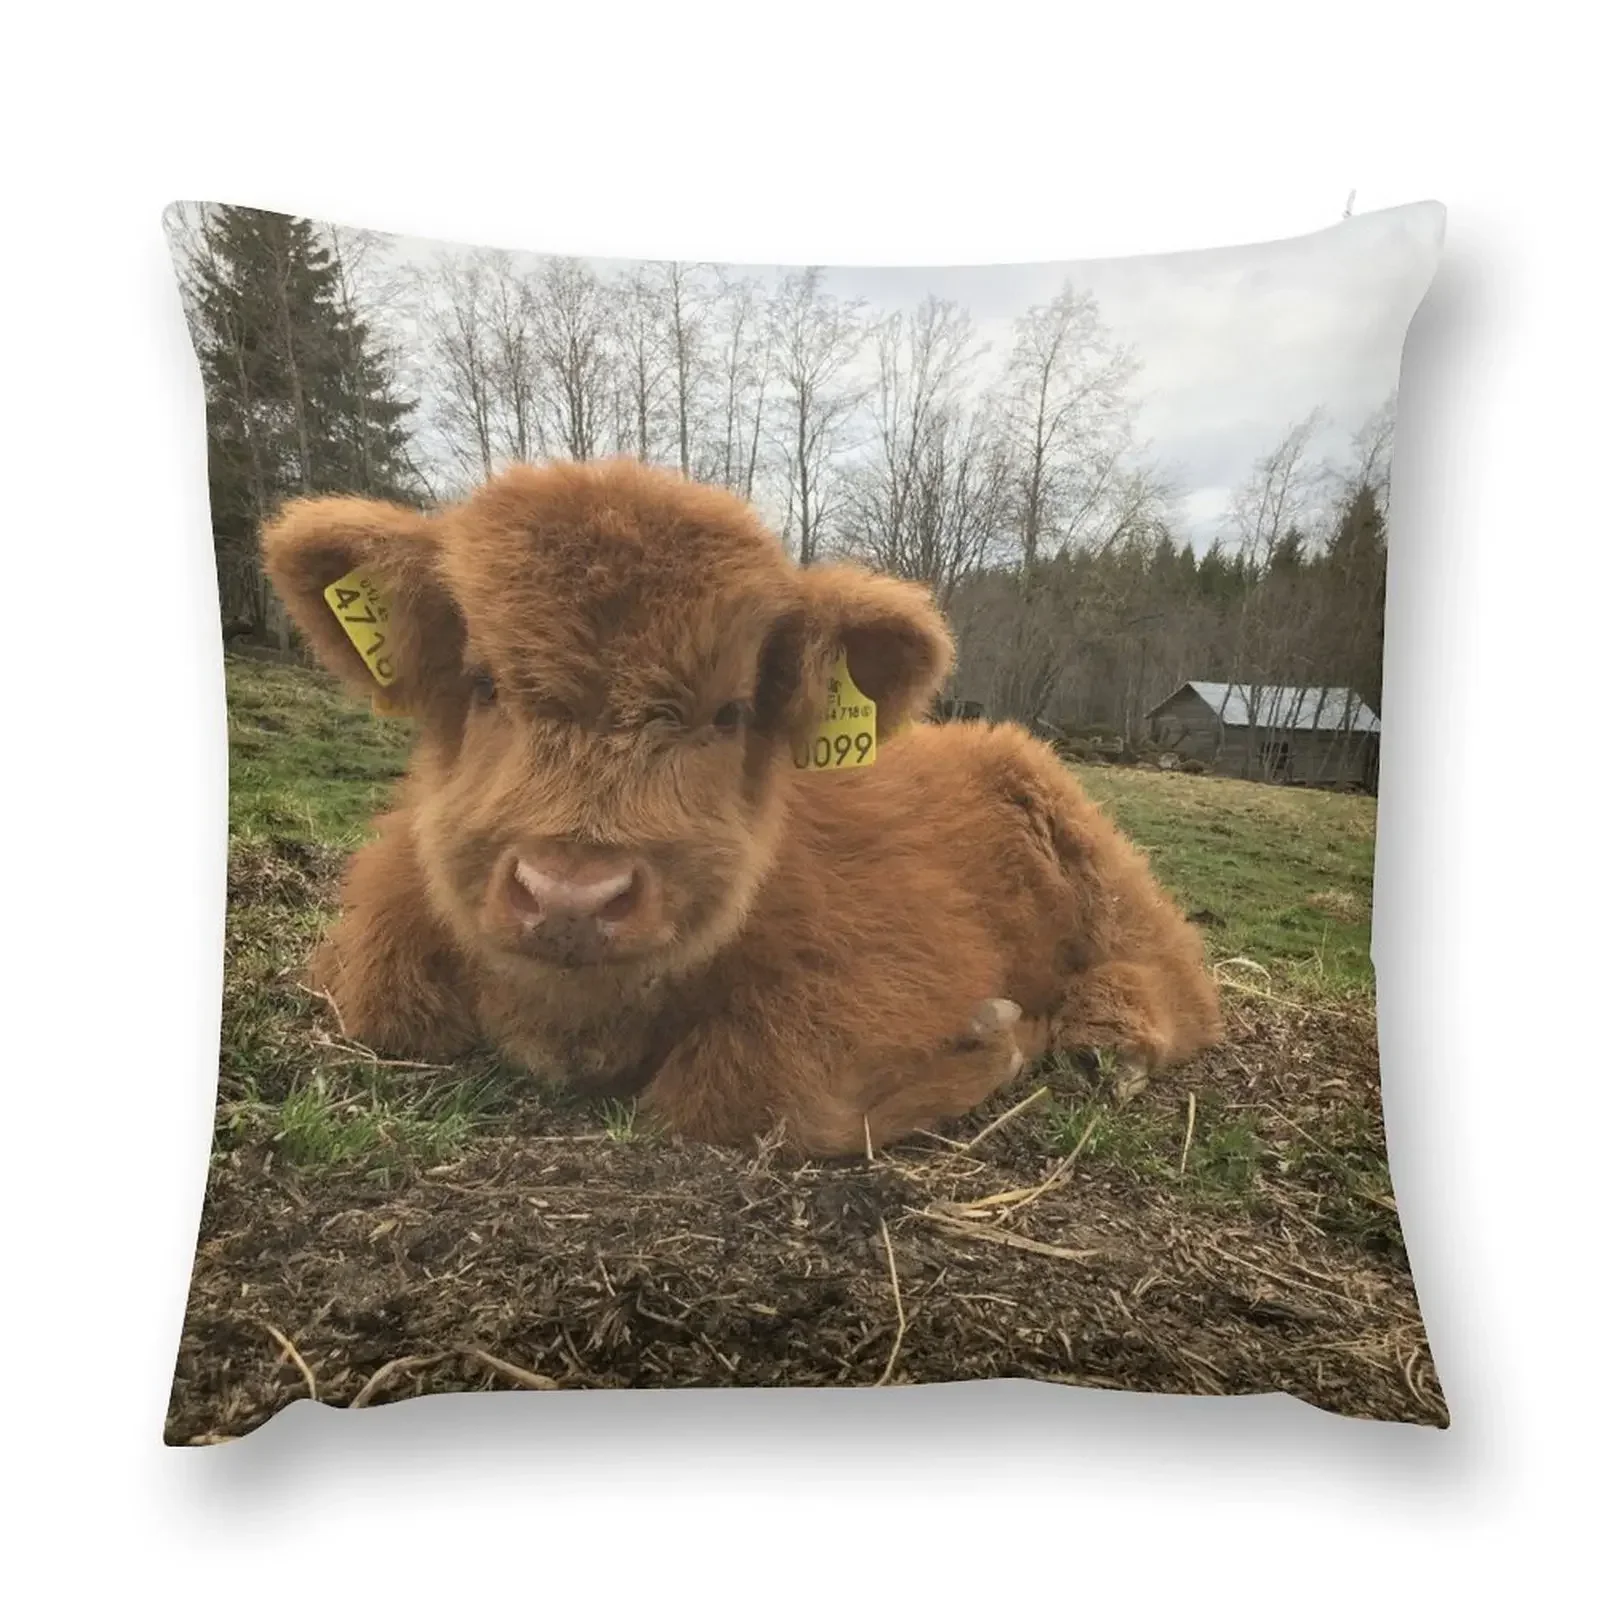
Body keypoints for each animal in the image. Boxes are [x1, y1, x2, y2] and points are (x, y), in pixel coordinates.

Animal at [262, 458, 1223, 1156]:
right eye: (486, 683)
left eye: (728, 712)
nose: (573, 895)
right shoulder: (370, 970)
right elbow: (382, 1004)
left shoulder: (900, 966)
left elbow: (750, 1090)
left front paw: (1000, 1042)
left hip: (1094, 859)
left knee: (1176, 971)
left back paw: (1110, 1035)